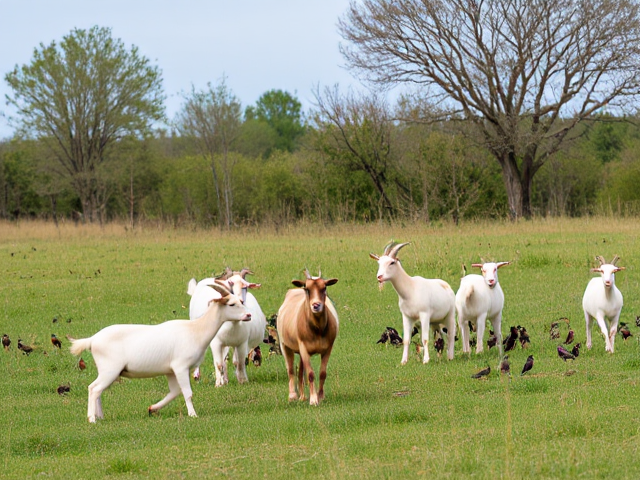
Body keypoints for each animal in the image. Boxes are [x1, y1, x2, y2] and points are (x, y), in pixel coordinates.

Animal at [69, 281, 250, 422]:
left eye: (241, 300)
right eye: (231, 304)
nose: (248, 315)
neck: (195, 330)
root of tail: (92, 340)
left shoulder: (170, 371)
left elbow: (175, 392)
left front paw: (152, 408)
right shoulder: (180, 367)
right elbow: (187, 392)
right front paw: (193, 414)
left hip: (108, 372)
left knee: (98, 390)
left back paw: (100, 416)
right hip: (110, 370)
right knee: (94, 389)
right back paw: (92, 419)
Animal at [277, 269, 339, 406]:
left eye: (324, 287)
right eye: (307, 288)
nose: (316, 305)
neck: (318, 329)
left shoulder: (328, 348)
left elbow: (322, 373)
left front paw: (320, 396)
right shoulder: (303, 347)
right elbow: (310, 374)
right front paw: (313, 400)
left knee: (300, 371)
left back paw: (302, 396)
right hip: (285, 345)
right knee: (291, 369)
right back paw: (293, 396)